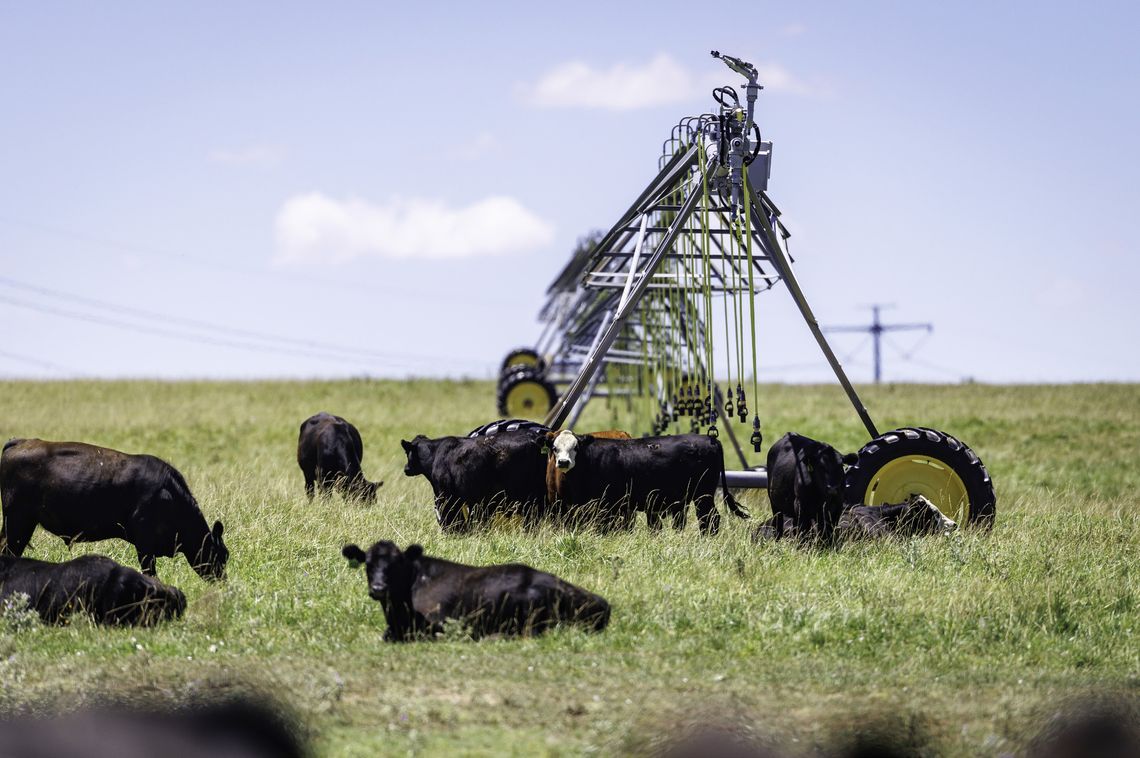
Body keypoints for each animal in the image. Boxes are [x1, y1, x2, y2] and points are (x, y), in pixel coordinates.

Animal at [400, 430, 547, 532]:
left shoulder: (445, 496)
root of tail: (534, 438)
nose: (406, 468)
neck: (435, 454)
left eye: (407, 452)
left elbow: (452, 518)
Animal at [546, 431, 750, 534]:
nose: (563, 462)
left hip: (703, 495)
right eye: (555, 448)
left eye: (576, 447)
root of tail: (710, 439)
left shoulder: (607, 505)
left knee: (710, 518)